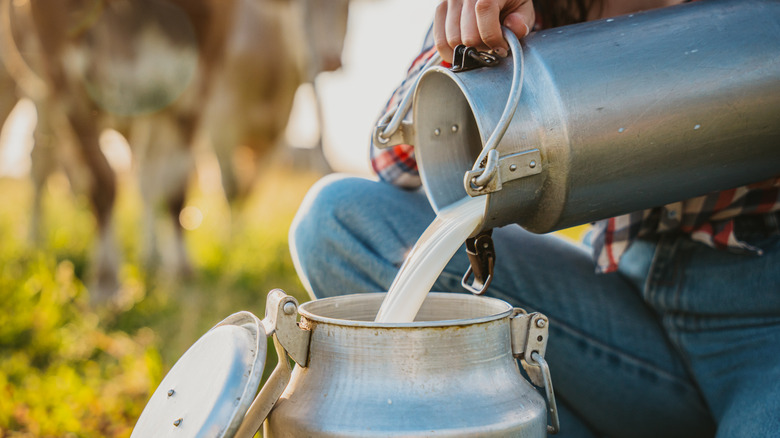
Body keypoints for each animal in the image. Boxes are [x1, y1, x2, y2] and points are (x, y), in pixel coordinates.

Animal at [0, 0, 350, 302]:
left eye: (346, 7)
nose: (328, 60)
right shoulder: (65, 74)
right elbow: (101, 180)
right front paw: (106, 282)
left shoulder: (196, 85)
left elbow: (175, 187)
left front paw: (182, 273)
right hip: (27, 89)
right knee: (41, 163)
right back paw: (34, 242)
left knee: (145, 176)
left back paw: (150, 257)